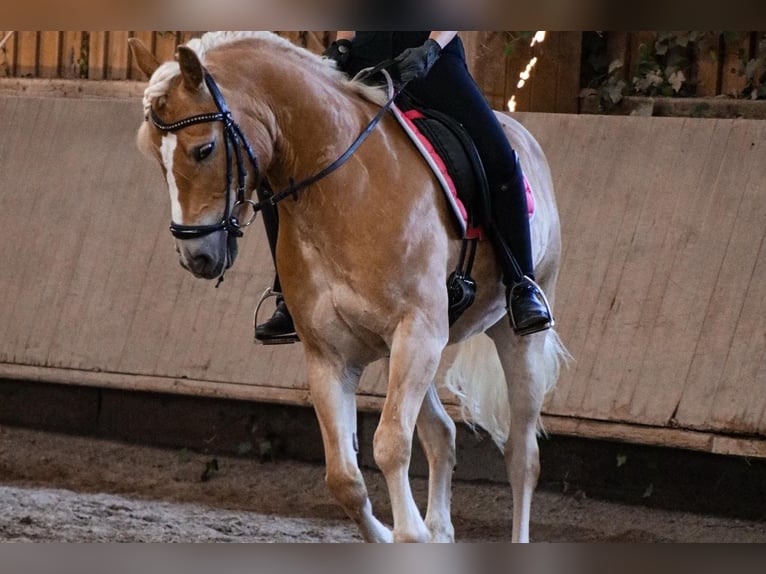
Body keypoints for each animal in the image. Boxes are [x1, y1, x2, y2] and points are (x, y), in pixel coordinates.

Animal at [126, 31, 568, 544]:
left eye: (204, 149)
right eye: (156, 157)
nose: (196, 257)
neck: (344, 190)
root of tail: (523, 137)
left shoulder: (418, 332)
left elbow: (390, 445)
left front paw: (409, 534)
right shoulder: (330, 355)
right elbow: (344, 479)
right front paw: (393, 534)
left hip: (513, 337)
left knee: (522, 456)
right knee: (442, 435)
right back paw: (439, 527)